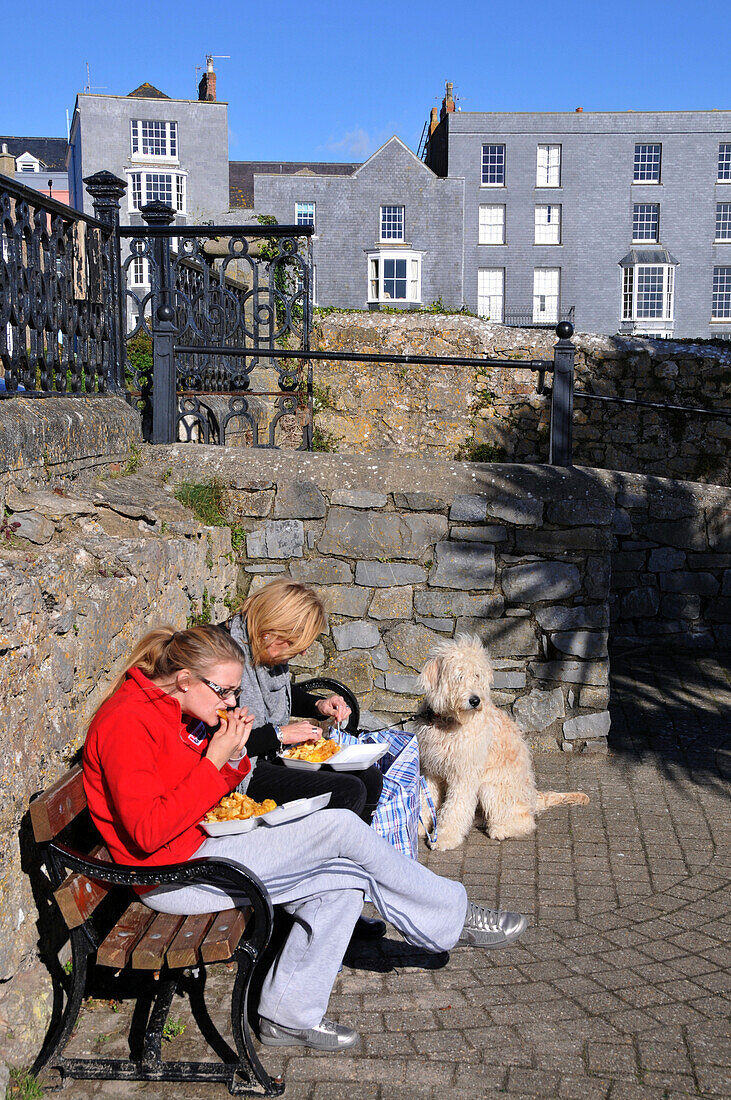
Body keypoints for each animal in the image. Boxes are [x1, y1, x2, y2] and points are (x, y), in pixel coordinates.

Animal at [413, 638, 589, 849]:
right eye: (459, 676)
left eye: (477, 675)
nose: (475, 700)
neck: (448, 723)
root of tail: (533, 796)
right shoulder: (431, 769)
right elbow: (425, 799)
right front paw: (419, 826)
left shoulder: (464, 775)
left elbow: (455, 807)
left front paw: (445, 837)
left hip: (492, 787)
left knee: (524, 820)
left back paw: (501, 829)